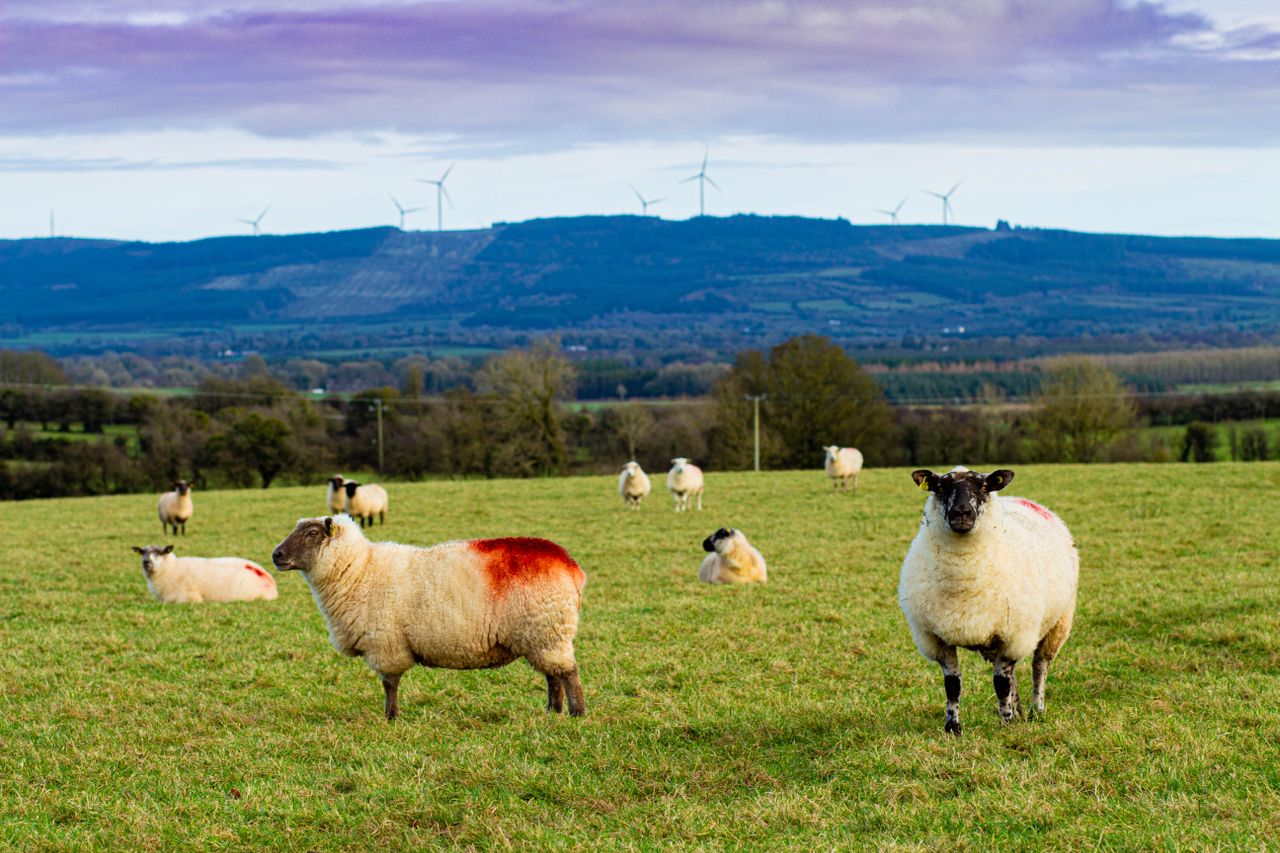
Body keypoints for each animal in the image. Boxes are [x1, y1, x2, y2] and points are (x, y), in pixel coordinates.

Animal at [271, 515, 587, 720]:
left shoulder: (386, 643)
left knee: (568, 673)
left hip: (548, 627)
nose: (276, 555)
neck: (359, 571)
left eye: (312, 534)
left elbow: (390, 684)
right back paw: (552, 711)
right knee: (553, 675)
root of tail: (570, 565)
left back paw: (577, 714)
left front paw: (391, 717)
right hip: (542, 634)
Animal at [897, 466, 1078, 736]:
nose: (962, 512)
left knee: (1039, 667)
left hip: (1058, 623)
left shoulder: (1015, 636)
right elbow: (952, 685)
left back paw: (1036, 710)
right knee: (1013, 675)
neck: (963, 581)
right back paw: (1019, 710)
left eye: (983, 487)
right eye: (940, 487)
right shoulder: (937, 639)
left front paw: (1007, 722)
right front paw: (953, 727)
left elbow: (1000, 683)